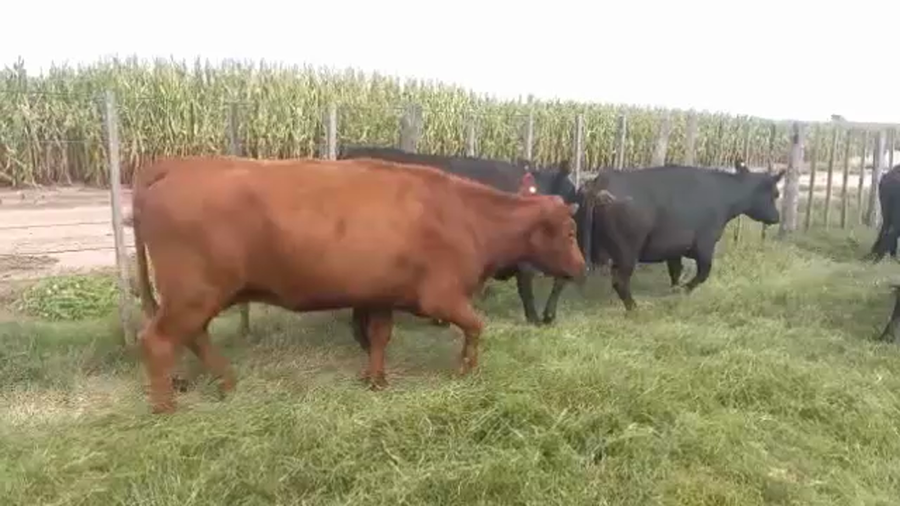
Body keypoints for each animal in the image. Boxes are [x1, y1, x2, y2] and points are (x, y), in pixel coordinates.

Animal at [571, 159, 784, 311]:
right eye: (775, 193)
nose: (776, 217)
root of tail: (600, 181)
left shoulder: (673, 249)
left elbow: (676, 271)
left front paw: (675, 290)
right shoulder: (705, 244)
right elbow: (703, 273)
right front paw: (684, 290)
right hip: (627, 253)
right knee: (620, 281)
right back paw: (634, 308)